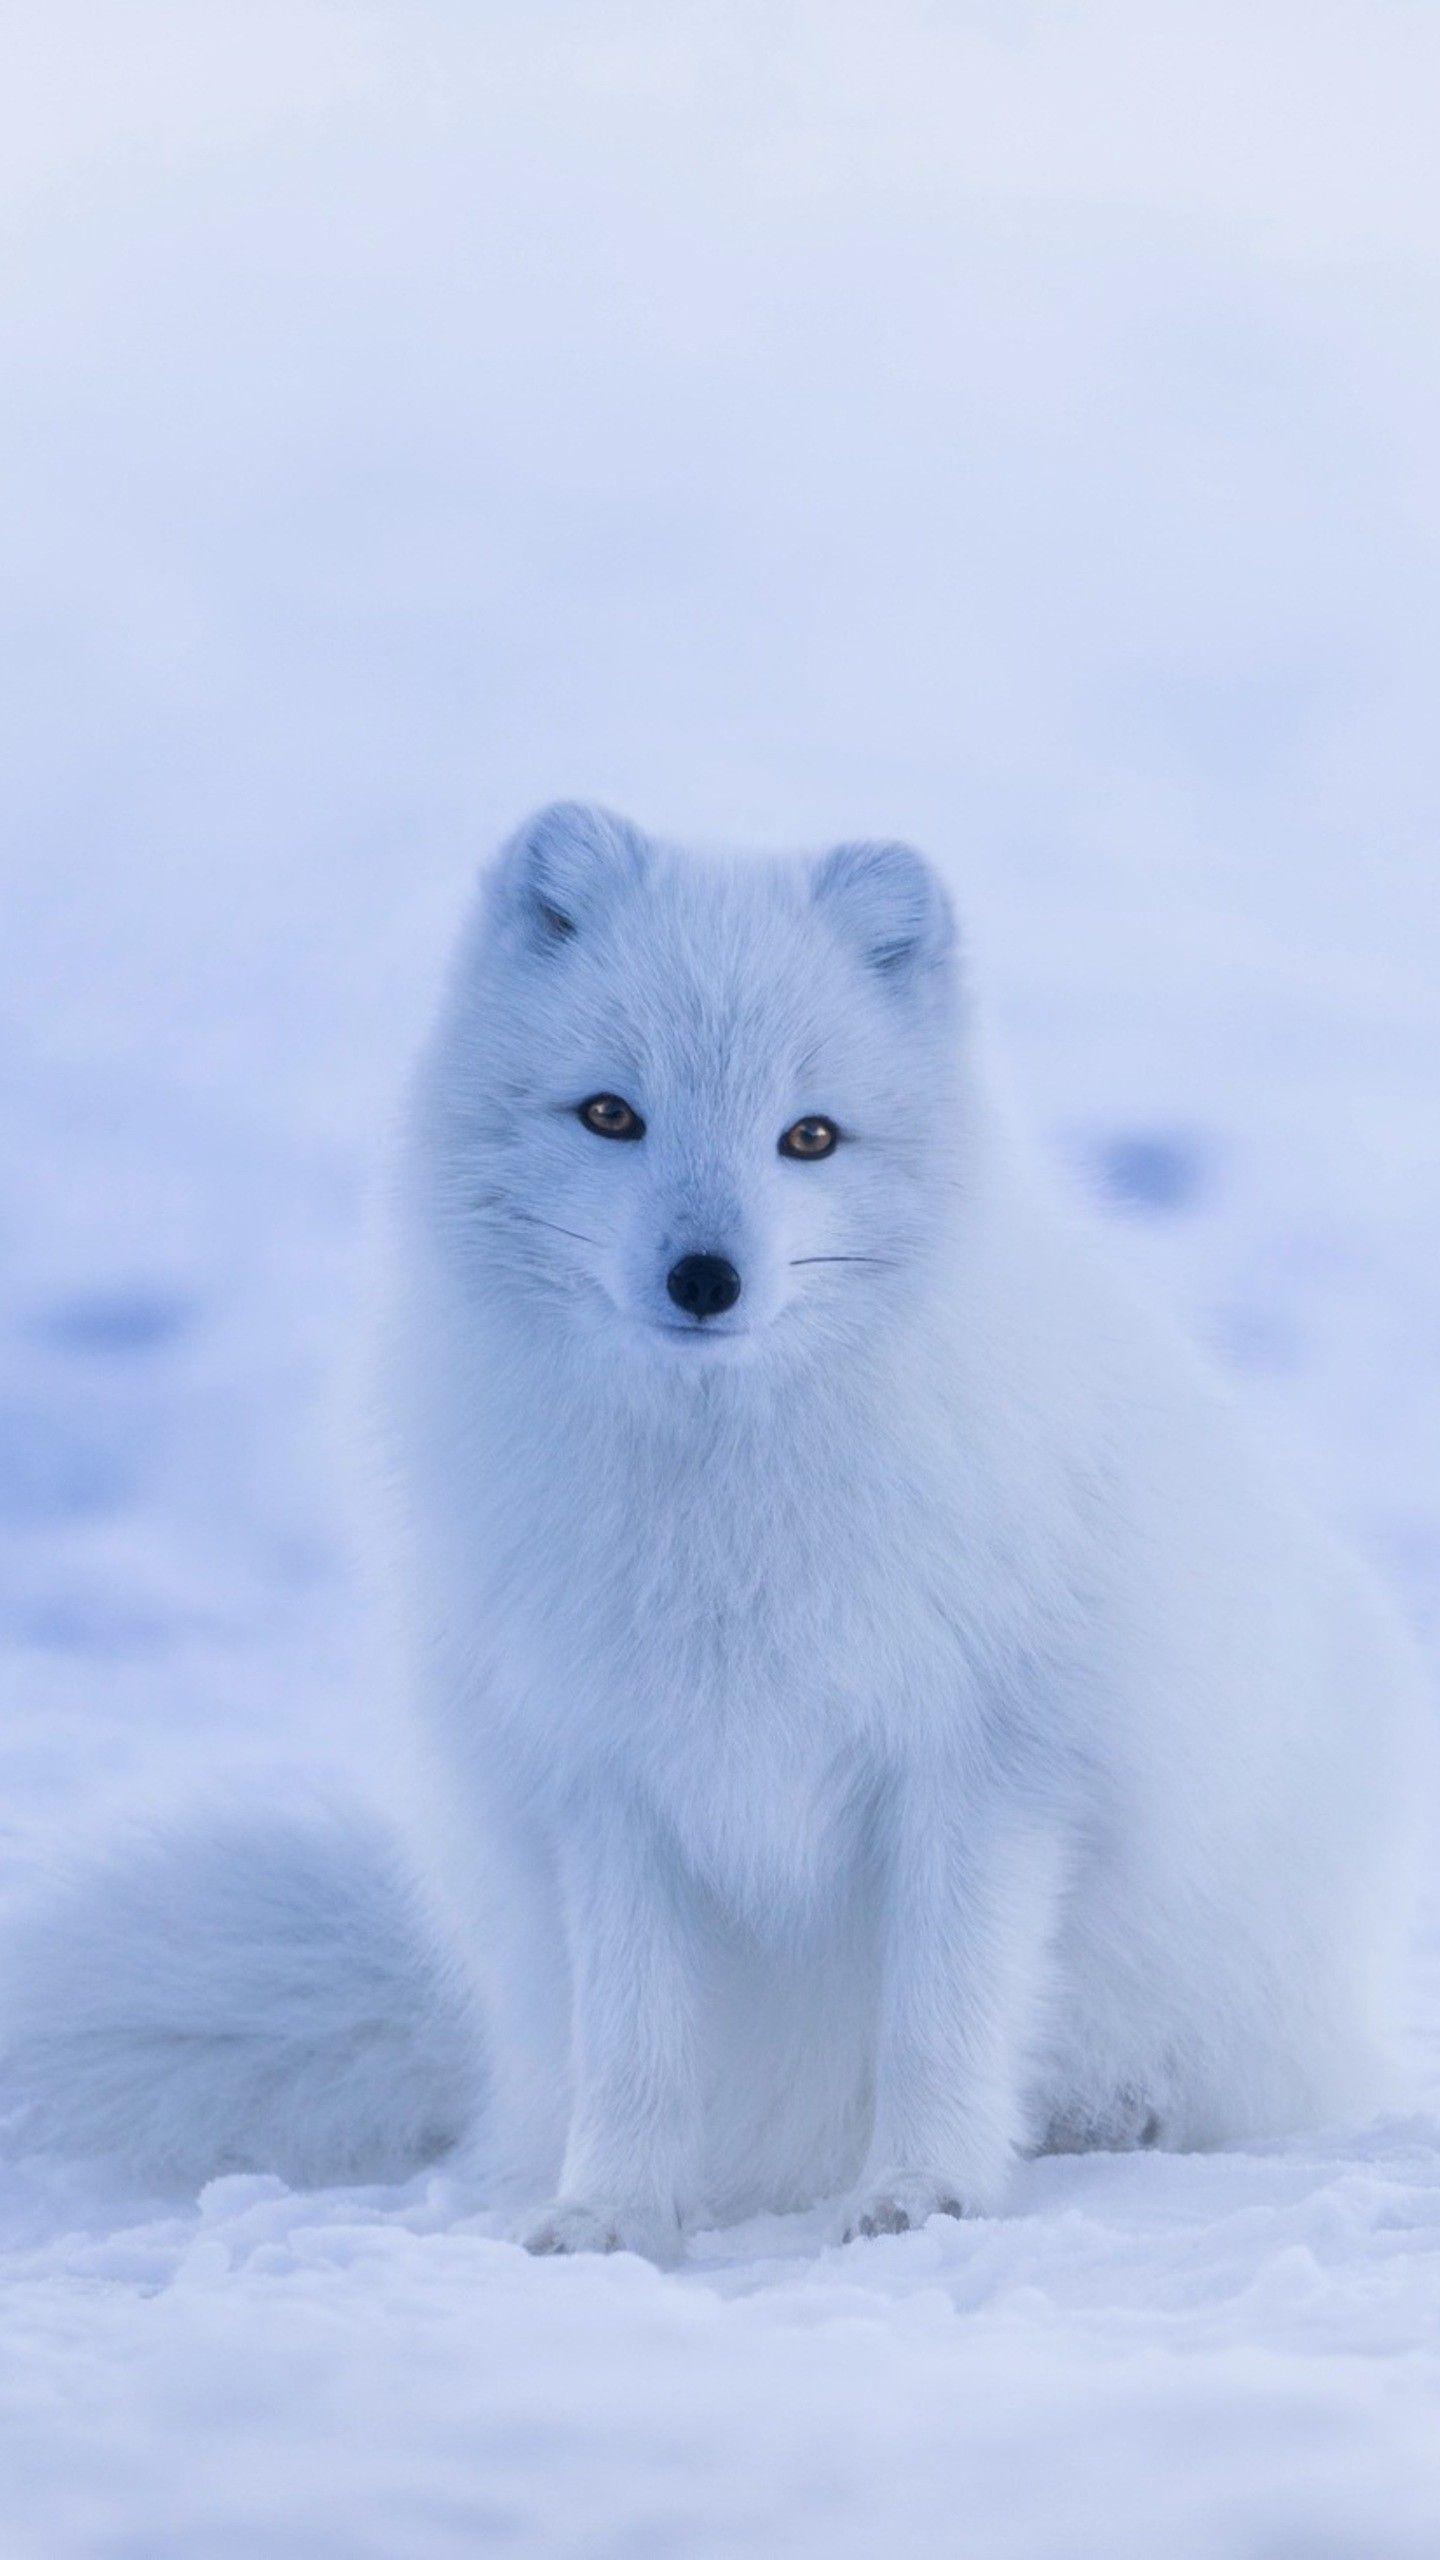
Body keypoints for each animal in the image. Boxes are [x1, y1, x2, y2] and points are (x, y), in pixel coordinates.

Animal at [0, 803, 1424, 2259]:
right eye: (611, 1114)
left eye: (811, 1137)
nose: (705, 1277)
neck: (721, 1503)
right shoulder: (609, 1778)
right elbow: (637, 2045)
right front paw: (611, 2213)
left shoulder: (984, 1767)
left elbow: (943, 2016)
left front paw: (925, 2192)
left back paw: (1113, 2113)